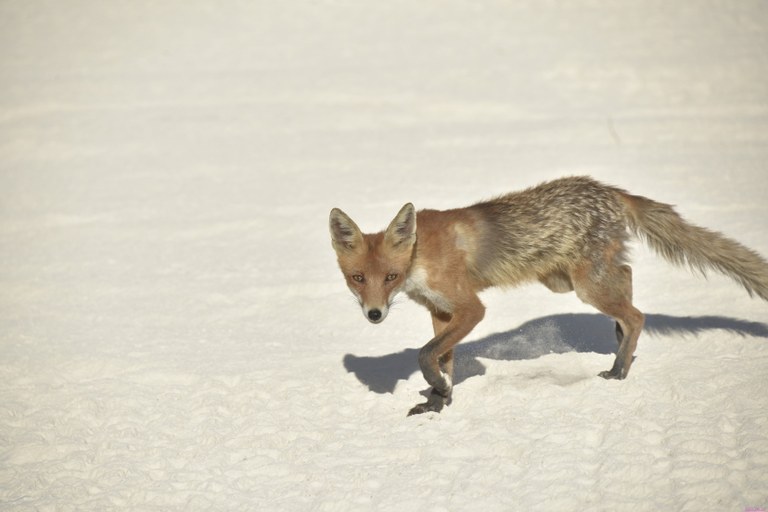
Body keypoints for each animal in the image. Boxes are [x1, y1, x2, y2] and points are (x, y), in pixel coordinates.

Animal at [328, 176, 768, 416]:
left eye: (390, 276)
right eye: (357, 278)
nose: (374, 314)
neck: (419, 256)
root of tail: (608, 189)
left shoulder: (470, 308)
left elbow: (425, 354)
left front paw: (438, 389)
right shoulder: (440, 310)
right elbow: (441, 358)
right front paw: (439, 400)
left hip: (585, 285)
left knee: (637, 314)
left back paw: (619, 368)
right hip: (566, 280)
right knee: (627, 279)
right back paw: (619, 342)